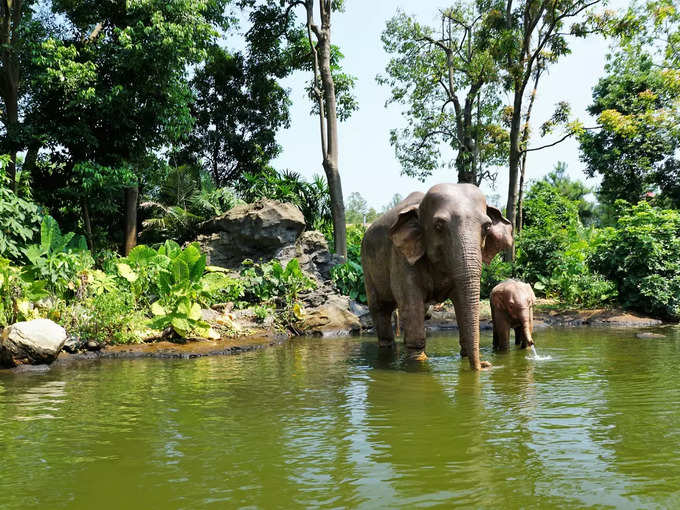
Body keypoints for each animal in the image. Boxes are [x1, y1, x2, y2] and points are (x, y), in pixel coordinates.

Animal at [362, 183, 510, 370]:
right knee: (380, 308)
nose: (486, 364)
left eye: (487, 227)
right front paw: (418, 361)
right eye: (439, 226)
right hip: (367, 268)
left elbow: (460, 302)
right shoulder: (401, 258)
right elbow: (410, 304)